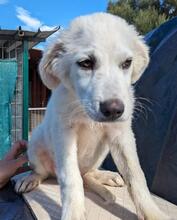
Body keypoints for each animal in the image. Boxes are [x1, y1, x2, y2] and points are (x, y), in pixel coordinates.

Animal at [15, 12, 170, 219]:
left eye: (126, 63)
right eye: (86, 63)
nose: (114, 110)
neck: (84, 112)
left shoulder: (122, 134)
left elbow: (136, 175)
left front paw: (151, 212)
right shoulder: (64, 134)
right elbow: (71, 178)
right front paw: (73, 213)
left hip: (102, 151)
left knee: (87, 174)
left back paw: (106, 176)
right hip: (35, 144)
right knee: (49, 172)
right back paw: (31, 178)